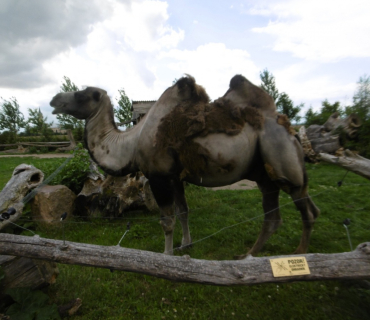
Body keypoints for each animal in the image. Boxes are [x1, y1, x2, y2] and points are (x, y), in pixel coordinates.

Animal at [50, 75, 320, 258]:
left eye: (83, 93)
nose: (54, 99)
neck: (130, 144)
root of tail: (292, 132)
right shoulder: (175, 177)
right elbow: (183, 212)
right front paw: (184, 245)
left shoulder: (158, 176)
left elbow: (166, 220)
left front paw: (167, 254)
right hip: (265, 175)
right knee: (274, 216)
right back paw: (248, 255)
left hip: (281, 161)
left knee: (304, 210)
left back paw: (299, 252)